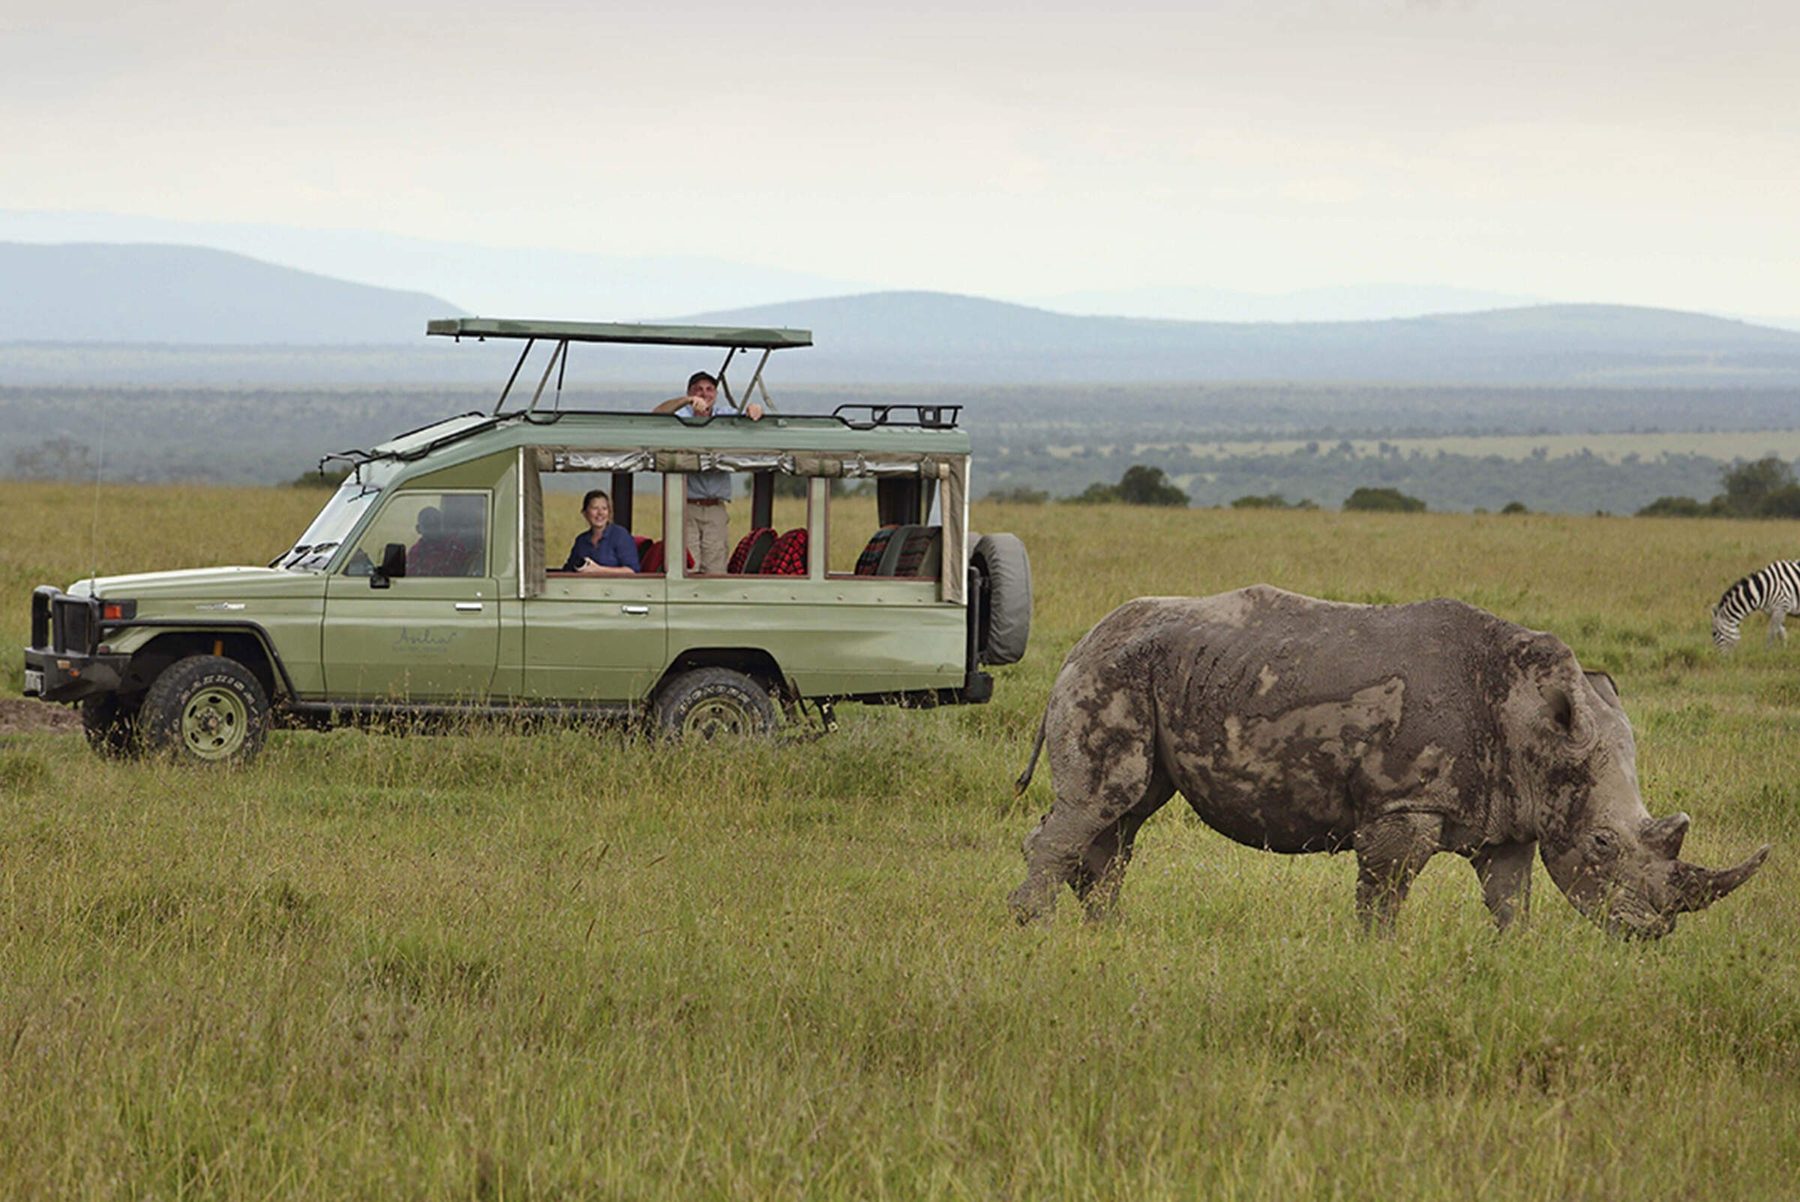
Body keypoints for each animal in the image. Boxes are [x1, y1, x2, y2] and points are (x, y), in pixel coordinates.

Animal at [1009, 586, 1769, 938]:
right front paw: (1376, 958)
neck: (1534, 721)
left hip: (1146, 669)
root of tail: (1081, 642)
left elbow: (1510, 899)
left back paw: (1107, 934)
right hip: (1109, 674)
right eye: (1604, 844)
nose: (1651, 933)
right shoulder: (1404, 806)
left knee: (1126, 815)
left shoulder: (1514, 811)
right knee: (1102, 802)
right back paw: (1036, 934)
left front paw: (1516, 958)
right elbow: (1385, 893)